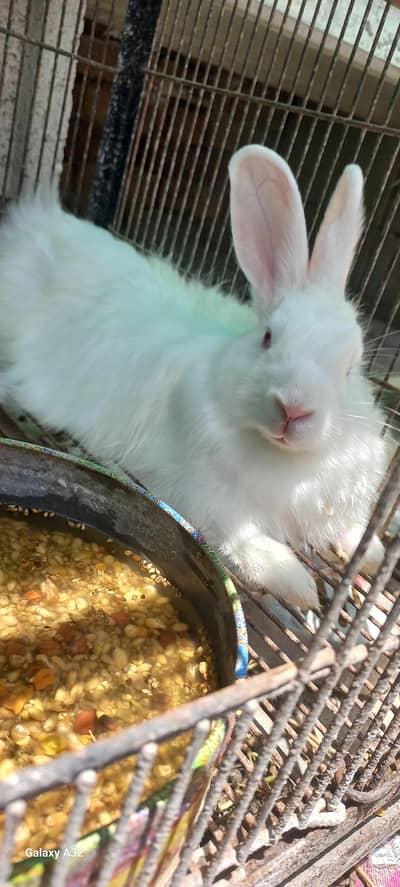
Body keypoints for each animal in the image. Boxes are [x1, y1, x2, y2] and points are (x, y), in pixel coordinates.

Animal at [0, 145, 388, 610]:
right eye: (268, 337)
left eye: (351, 364)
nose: (293, 409)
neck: (288, 462)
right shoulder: (209, 500)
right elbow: (249, 544)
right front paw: (299, 586)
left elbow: (352, 530)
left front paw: (373, 553)